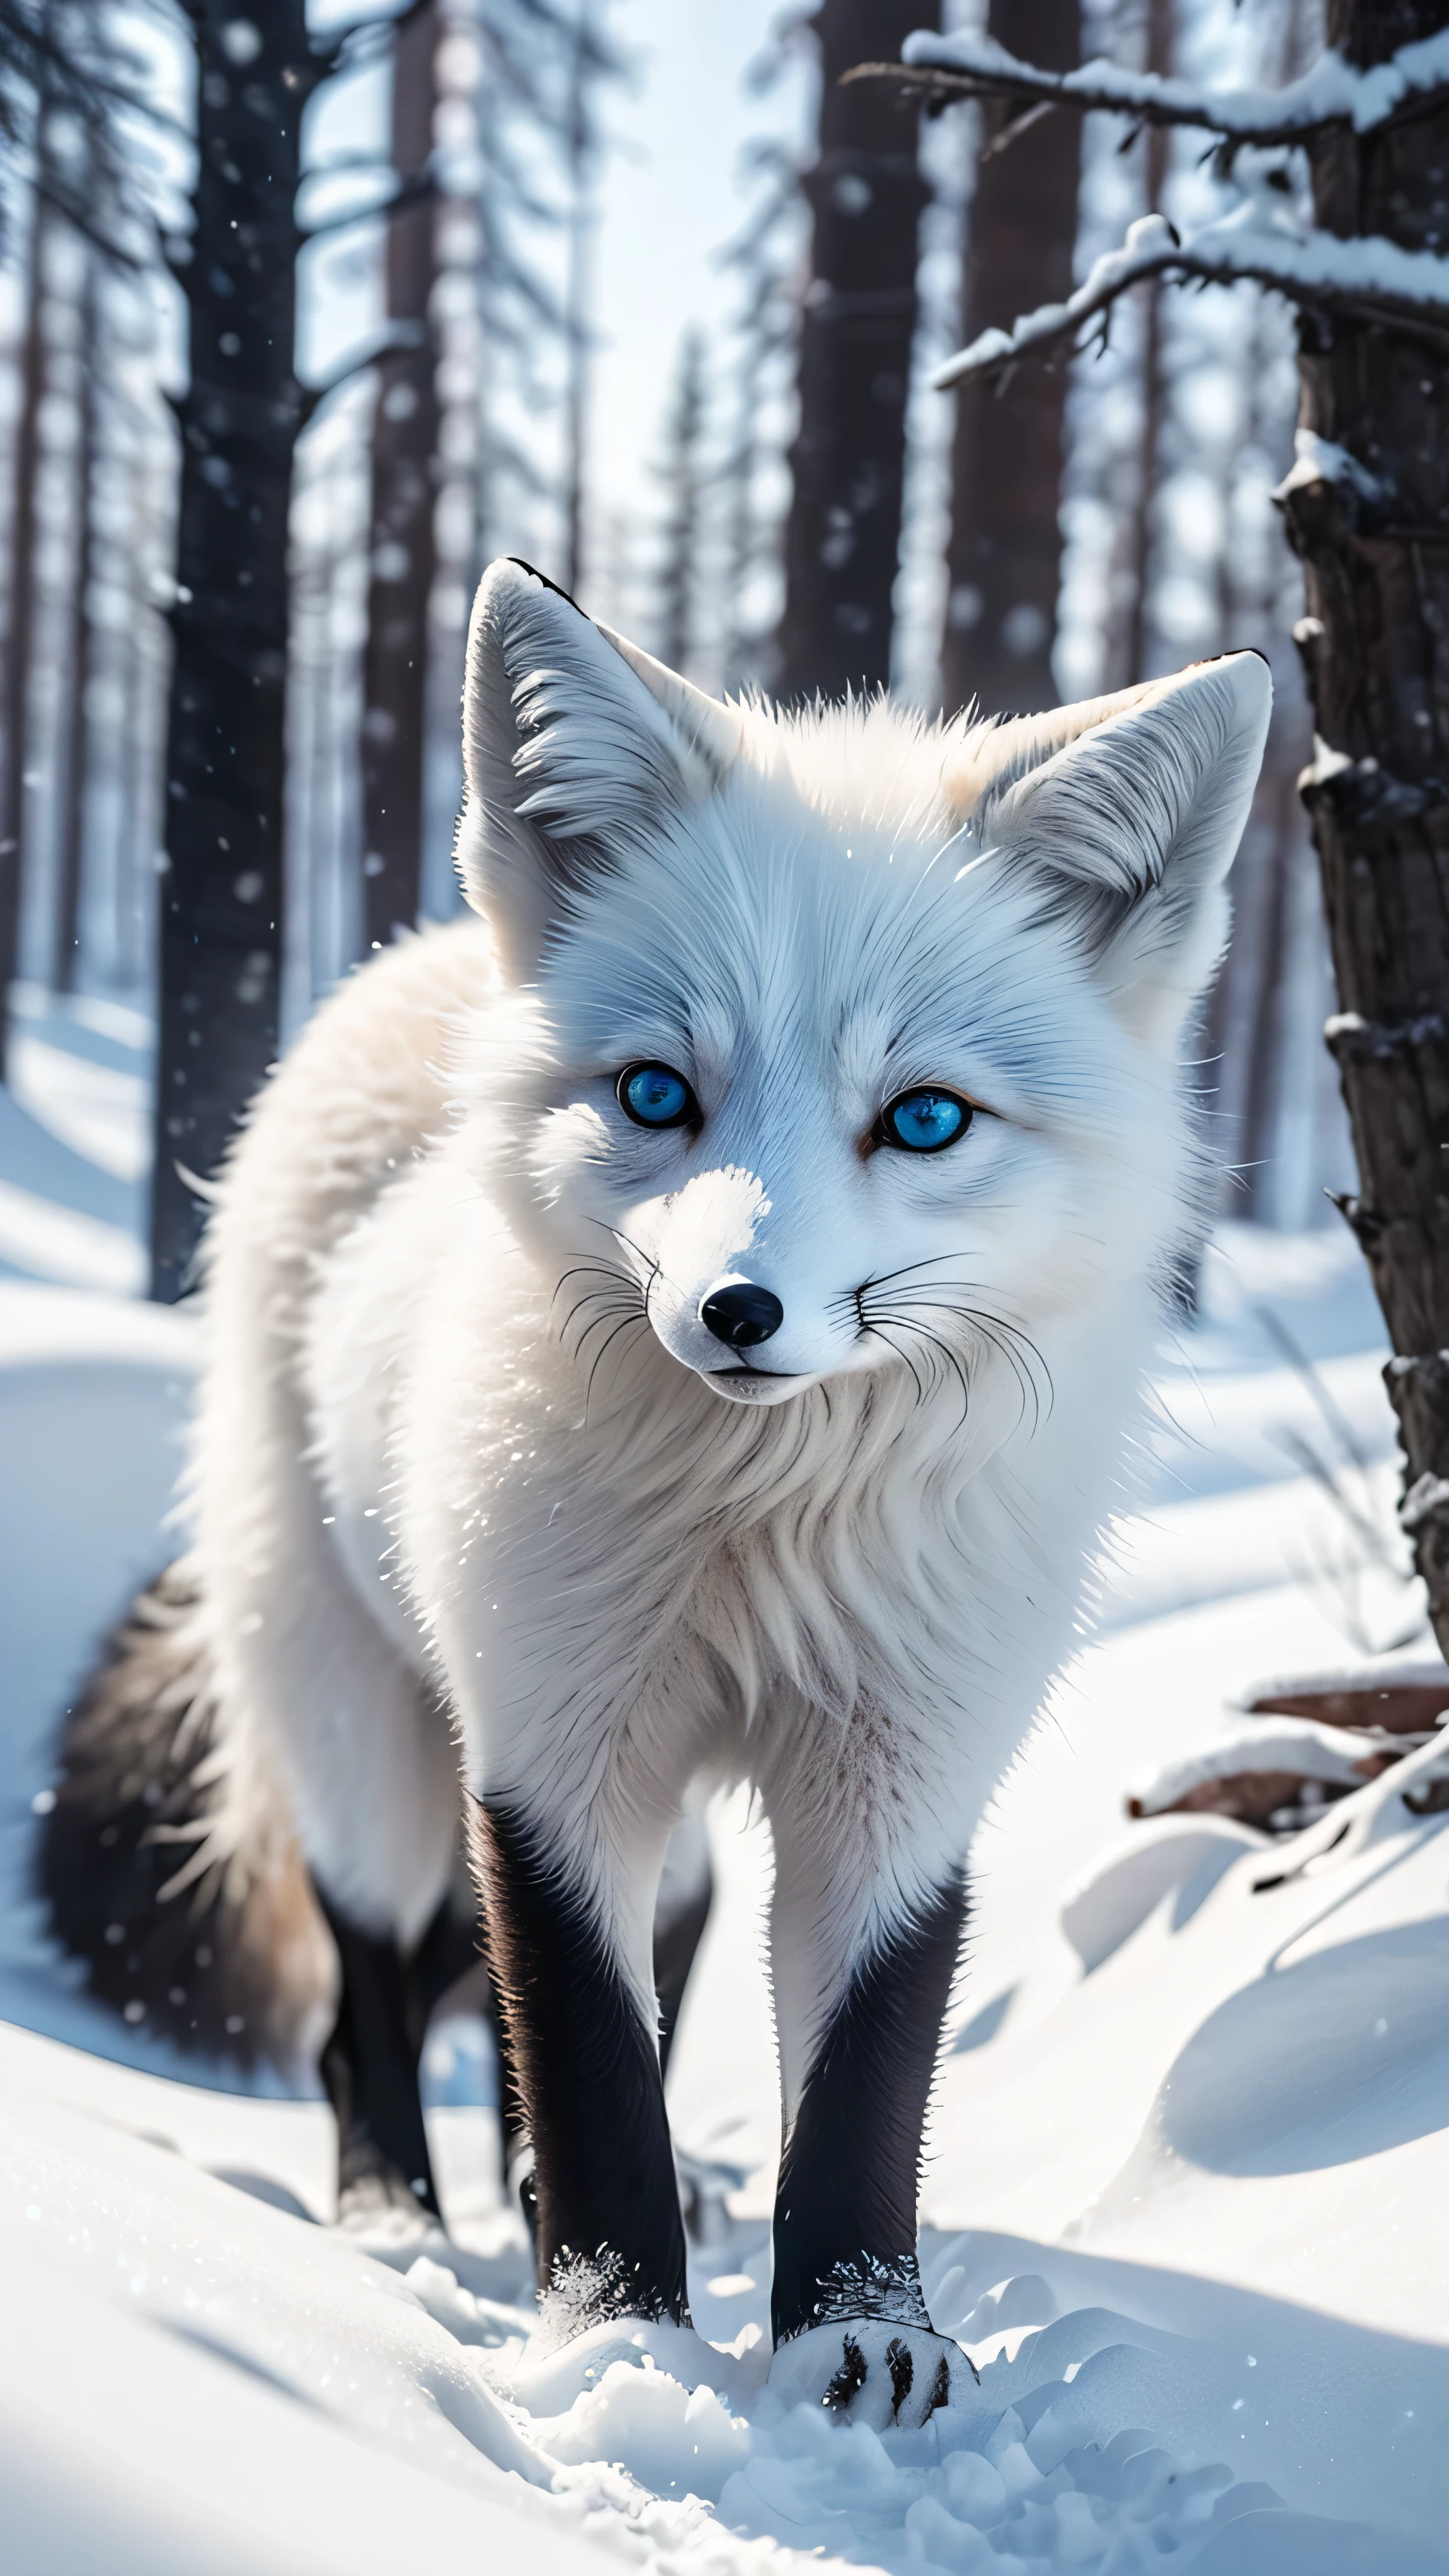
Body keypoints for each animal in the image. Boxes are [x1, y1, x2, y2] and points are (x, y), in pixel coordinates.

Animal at [42, 558, 1263, 2411]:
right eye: (656, 1094)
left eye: (924, 1120)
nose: (738, 1312)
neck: (766, 1536)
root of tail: (418, 967)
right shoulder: (550, 1753)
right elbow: (588, 2058)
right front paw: (622, 2340)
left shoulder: (903, 1777)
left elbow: (860, 2084)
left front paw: (860, 2337)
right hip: (360, 1727)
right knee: (371, 1988)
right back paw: (393, 2211)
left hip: (642, 1809)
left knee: (624, 1943)